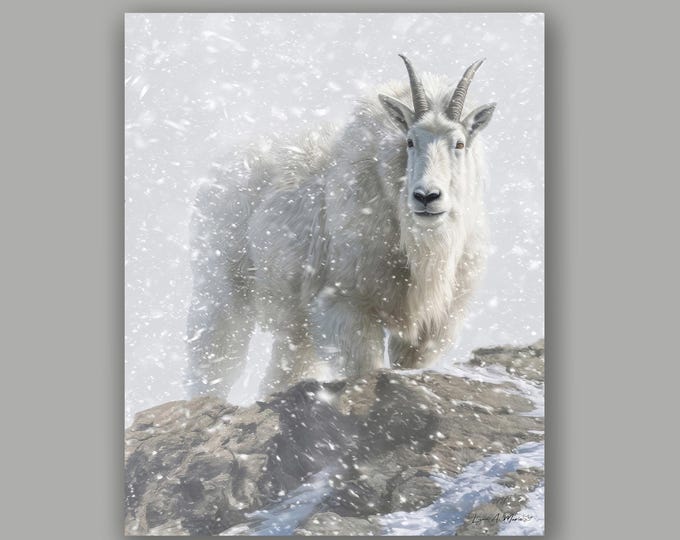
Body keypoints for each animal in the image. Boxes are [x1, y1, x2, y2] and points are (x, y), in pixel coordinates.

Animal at [186, 55, 496, 398]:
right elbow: (365, 367)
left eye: (459, 143)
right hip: (222, 285)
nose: (427, 197)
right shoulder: (345, 304)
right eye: (410, 141)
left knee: (284, 368)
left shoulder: (432, 324)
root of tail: (215, 172)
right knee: (215, 359)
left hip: (296, 321)